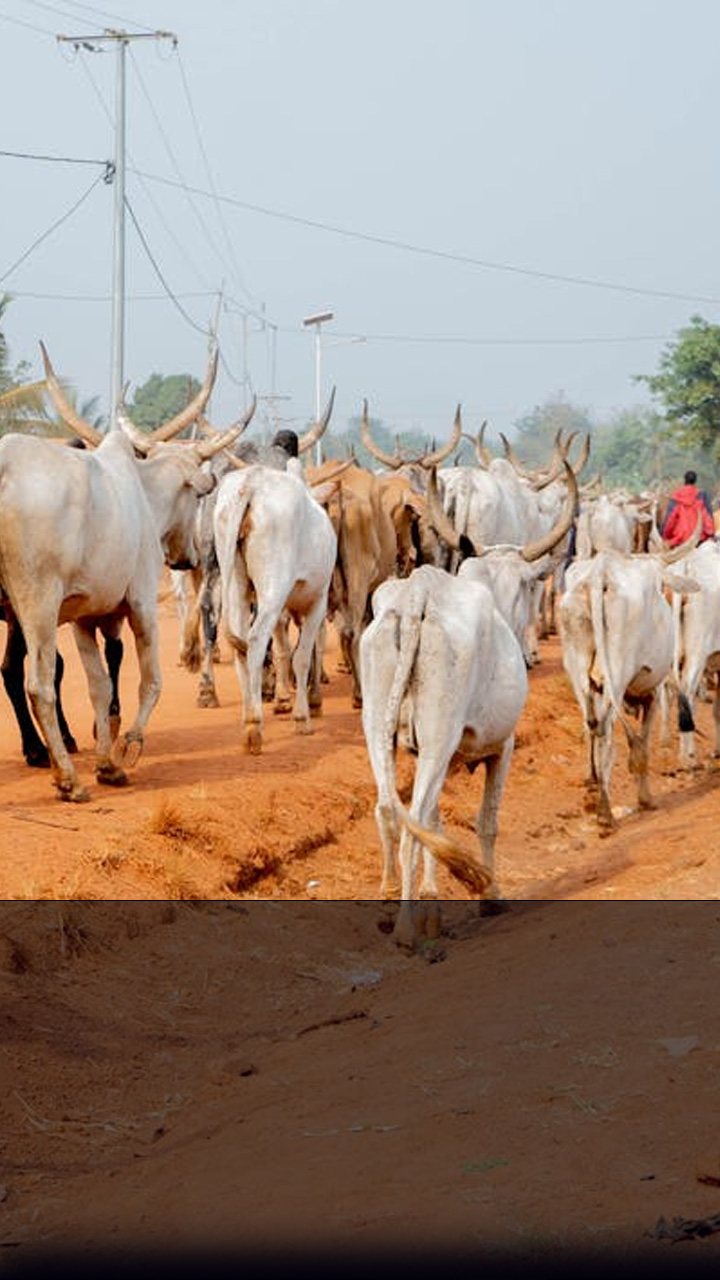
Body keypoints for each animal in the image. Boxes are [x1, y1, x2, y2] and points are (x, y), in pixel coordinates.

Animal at [212, 463, 335, 747]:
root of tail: (251, 483)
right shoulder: (318, 601)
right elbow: (303, 656)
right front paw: (303, 716)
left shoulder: (282, 612)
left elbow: (282, 652)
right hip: (273, 589)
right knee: (256, 640)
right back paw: (254, 725)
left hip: (237, 584)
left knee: (240, 647)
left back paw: (248, 713)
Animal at [361, 565, 525, 947]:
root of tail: (418, 591)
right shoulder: (503, 747)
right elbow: (487, 822)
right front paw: (491, 895)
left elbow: (436, 825)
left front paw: (432, 904)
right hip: (440, 736)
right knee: (413, 825)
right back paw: (406, 931)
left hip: (378, 724)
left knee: (389, 811)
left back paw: (389, 902)